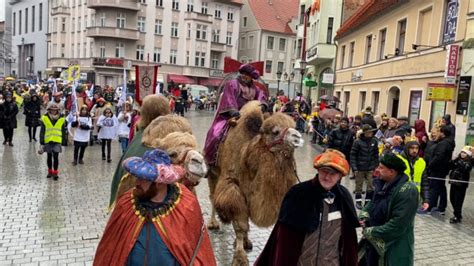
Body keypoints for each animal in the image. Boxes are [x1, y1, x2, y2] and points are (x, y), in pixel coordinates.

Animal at [207, 101, 304, 264]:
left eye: (294, 125)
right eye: (275, 132)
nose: (298, 138)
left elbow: (244, 222)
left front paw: (245, 243)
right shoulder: (231, 185)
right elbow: (240, 225)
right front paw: (240, 259)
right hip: (212, 172)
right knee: (213, 197)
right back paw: (212, 224)